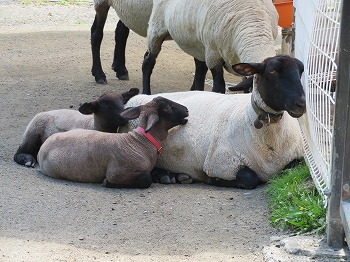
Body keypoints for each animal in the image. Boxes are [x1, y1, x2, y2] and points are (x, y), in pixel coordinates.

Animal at [37, 96, 189, 188]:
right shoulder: (117, 173)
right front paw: (106, 182)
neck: (140, 142)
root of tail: (42, 148)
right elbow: (147, 179)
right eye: (168, 108)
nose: (187, 109)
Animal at [119, 54, 306, 188]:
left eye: (301, 71)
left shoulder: (296, 157)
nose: (301, 103)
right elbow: (250, 178)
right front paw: (213, 180)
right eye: (272, 71)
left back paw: (177, 176)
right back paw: (166, 175)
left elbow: (291, 168)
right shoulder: (221, 162)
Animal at [142, 0, 278, 95]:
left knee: (200, 70)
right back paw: (146, 93)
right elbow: (218, 87)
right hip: (156, 28)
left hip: (198, 46)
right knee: (148, 61)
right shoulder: (213, 55)